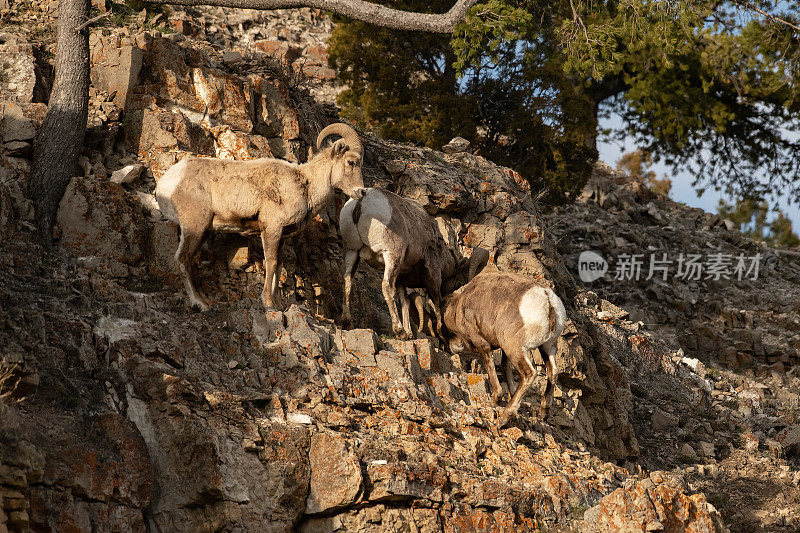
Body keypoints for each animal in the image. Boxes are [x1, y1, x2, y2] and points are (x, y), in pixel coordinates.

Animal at [155, 122, 366, 310]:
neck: (306, 186)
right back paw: (201, 304)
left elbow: (279, 266)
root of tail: (167, 182)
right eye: (350, 162)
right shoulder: (271, 229)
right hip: (195, 228)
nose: (361, 192)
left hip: (201, 231)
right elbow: (270, 263)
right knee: (183, 258)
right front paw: (268, 303)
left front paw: (278, 304)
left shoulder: (282, 236)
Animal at [340, 189, 476, 338]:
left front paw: (409, 334)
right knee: (386, 286)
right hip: (391, 255)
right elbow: (436, 300)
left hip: (352, 251)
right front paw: (440, 331)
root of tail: (361, 200)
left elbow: (405, 302)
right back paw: (399, 331)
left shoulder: (401, 278)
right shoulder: (433, 274)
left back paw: (347, 322)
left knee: (348, 280)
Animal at [438, 262, 568, 428]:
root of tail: (547, 301)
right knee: (553, 372)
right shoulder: (504, 350)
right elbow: (505, 367)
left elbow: (491, 367)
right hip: (548, 347)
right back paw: (544, 413)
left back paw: (504, 418)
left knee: (529, 373)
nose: (453, 347)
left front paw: (495, 400)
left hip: (516, 349)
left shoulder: (482, 343)